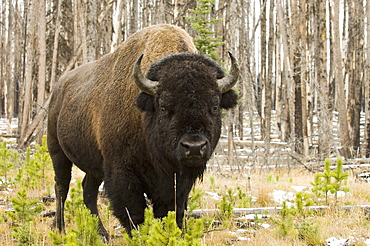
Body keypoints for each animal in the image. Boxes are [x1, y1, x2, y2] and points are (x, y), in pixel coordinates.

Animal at [47, 24, 238, 239]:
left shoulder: (178, 182)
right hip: (57, 152)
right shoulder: (123, 172)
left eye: (214, 106)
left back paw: (102, 233)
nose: (194, 147)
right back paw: (60, 228)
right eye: (164, 107)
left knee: (88, 190)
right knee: (61, 187)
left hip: (94, 164)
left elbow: (173, 210)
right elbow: (134, 212)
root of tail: (58, 88)